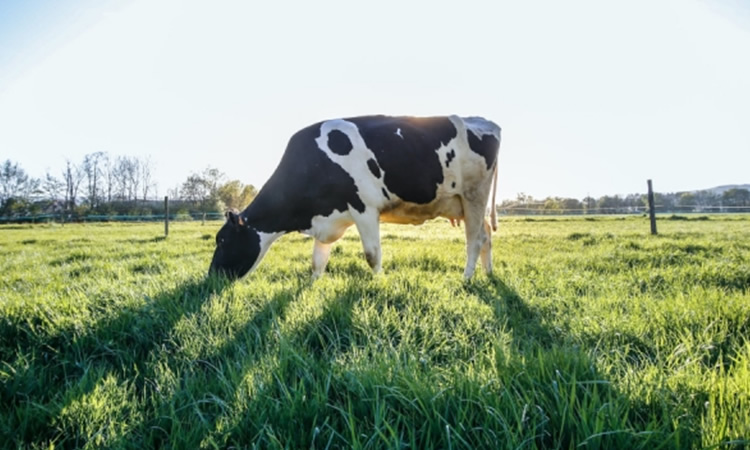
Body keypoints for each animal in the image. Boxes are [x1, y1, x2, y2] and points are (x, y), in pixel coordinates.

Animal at [212, 114, 502, 280]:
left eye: (222, 240)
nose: (211, 277)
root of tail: (483, 121)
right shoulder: (326, 218)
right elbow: (317, 261)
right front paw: (312, 286)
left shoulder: (364, 208)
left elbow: (372, 255)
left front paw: (380, 283)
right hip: (466, 203)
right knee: (486, 235)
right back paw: (488, 273)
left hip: (474, 195)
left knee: (474, 240)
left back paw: (467, 278)